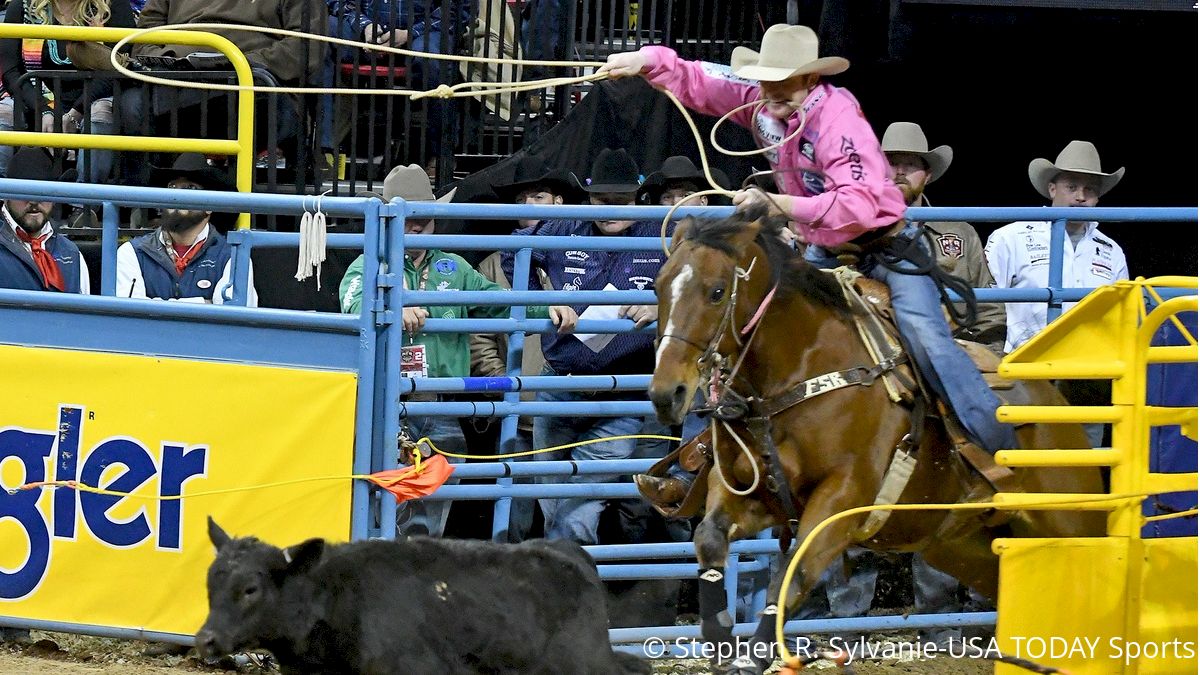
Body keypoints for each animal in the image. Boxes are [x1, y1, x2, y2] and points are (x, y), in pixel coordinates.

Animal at [652, 207, 1099, 667]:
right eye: (658, 286)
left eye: (717, 291)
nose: (668, 393)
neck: (800, 372)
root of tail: (1056, 403)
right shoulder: (750, 492)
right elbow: (709, 537)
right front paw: (720, 637)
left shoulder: (843, 498)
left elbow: (795, 574)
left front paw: (752, 656)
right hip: (964, 546)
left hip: (1070, 527)